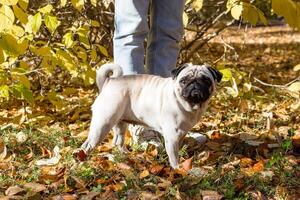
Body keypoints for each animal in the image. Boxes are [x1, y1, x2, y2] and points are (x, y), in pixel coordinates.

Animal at [80, 63, 223, 169]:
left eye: (206, 80)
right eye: (184, 81)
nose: (194, 83)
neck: (189, 106)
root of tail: (109, 82)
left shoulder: (181, 133)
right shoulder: (172, 138)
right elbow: (174, 157)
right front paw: (177, 170)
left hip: (120, 123)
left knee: (118, 141)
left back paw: (126, 156)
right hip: (103, 124)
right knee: (87, 145)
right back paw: (83, 161)